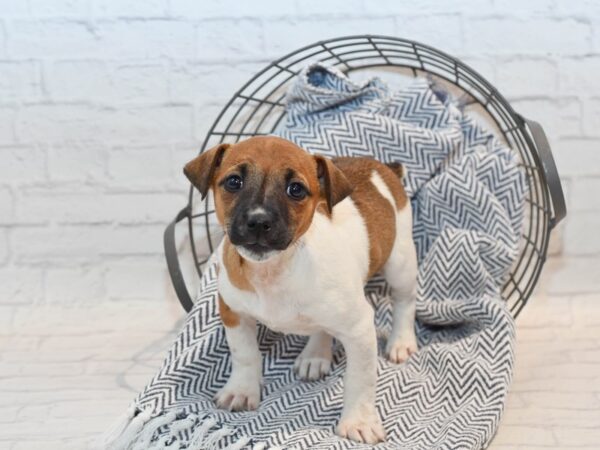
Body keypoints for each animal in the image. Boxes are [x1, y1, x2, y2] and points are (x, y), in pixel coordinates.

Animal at [183, 135, 418, 444]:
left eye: (295, 189)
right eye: (234, 182)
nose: (259, 221)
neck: (275, 270)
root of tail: (380, 167)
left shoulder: (359, 330)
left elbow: (360, 379)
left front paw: (359, 421)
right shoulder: (234, 313)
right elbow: (244, 354)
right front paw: (242, 390)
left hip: (400, 262)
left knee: (405, 300)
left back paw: (401, 341)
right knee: (321, 327)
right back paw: (315, 354)